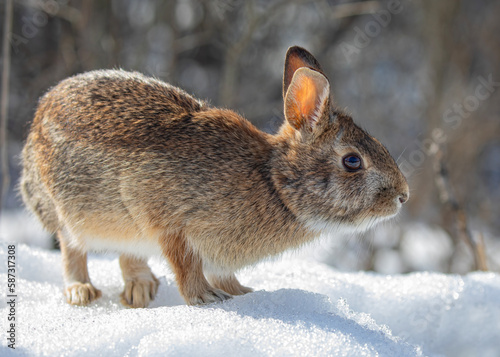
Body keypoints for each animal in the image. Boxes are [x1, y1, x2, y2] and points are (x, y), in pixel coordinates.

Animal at [20, 46, 410, 308]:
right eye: (352, 161)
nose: (403, 195)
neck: (273, 181)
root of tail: (37, 121)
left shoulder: (215, 250)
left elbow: (222, 272)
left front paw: (241, 292)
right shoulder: (170, 223)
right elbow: (186, 266)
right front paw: (207, 299)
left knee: (129, 256)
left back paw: (141, 288)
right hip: (74, 212)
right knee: (71, 248)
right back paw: (81, 291)